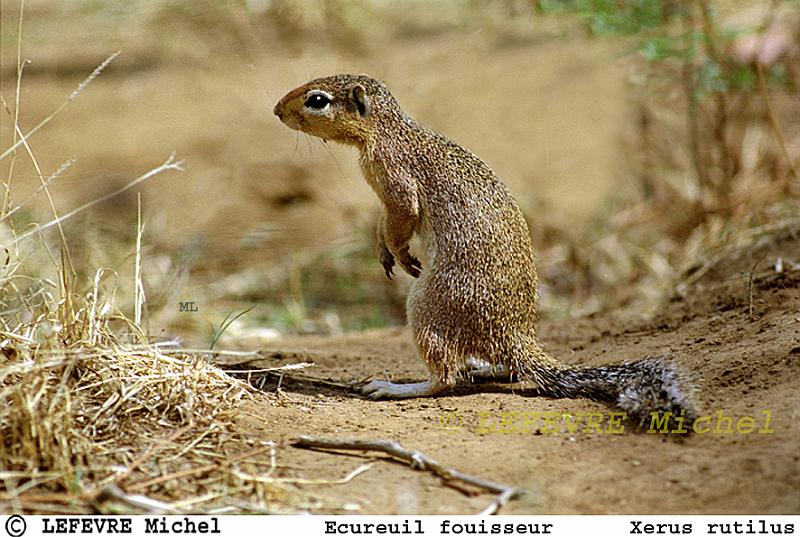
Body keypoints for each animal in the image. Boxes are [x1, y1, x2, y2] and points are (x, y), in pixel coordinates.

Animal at [274, 73, 692, 426]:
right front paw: (382, 250)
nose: (277, 110)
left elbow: (401, 217)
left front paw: (399, 253)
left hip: (426, 306)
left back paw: (393, 388)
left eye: (317, 100)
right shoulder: (385, 200)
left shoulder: (395, 182)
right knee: (502, 367)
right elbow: (383, 225)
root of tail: (516, 337)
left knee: (445, 377)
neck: (390, 130)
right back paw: (483, 367)